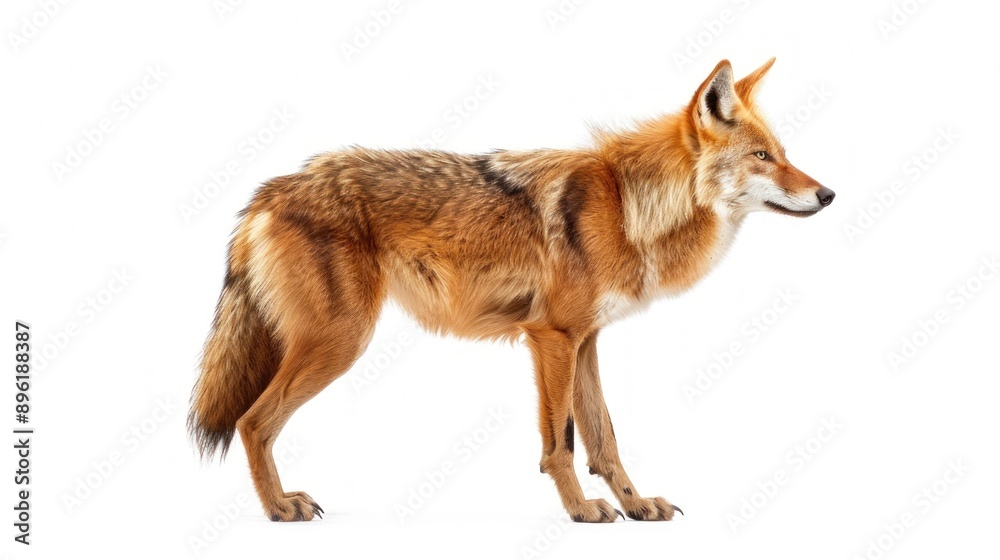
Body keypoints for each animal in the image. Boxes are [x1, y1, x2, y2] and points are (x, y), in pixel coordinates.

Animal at [188, 58, 834, 522]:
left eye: (785, 155)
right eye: (762, 157)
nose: (828, 194)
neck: (630, 209)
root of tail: (270, 190)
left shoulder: (585, 342)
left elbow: (604, 439)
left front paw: (635, 505)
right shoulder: (551, 338)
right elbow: (561, 445)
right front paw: (582, 511)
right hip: (340, 343)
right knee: (251, 422)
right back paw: (279, 509)